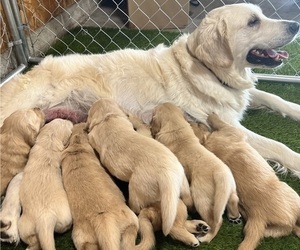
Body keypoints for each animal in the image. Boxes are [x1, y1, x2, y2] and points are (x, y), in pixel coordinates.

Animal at [0, 3, 300, 176]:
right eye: (253, 22)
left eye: (261, 15)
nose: (296, 24)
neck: (209, 69)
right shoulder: (228, 126)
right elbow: (279, 145)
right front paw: (296, 161)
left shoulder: (239, 95)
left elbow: (273, 97)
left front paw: (295, 109)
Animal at [18, 118, 73, 250]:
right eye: (67, 123)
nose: (69, 119)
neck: (49, 142)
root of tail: (45, 218)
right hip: (66, 220)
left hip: (24, 228)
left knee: (33, 242)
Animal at [85, 98, 192, 235]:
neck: (108, 117)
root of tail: (169, 176)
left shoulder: (93, 136)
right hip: (182, 182)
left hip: (136, 190)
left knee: (137, 207)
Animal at [151, 103, 240, 242]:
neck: (176, 128)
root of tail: (221, 175)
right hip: (229, 190)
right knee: (233, 200)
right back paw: (234, 216)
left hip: (201, 198)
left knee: (216, 221)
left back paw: (206, 236)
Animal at [192, 114, 300, 250]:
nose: (195, 120)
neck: (207, 143)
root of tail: (259, 217)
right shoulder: (233, 132)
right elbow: (222, 123)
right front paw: (213, 115)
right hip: (292, 195)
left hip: (273, 229)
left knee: (290, 228)